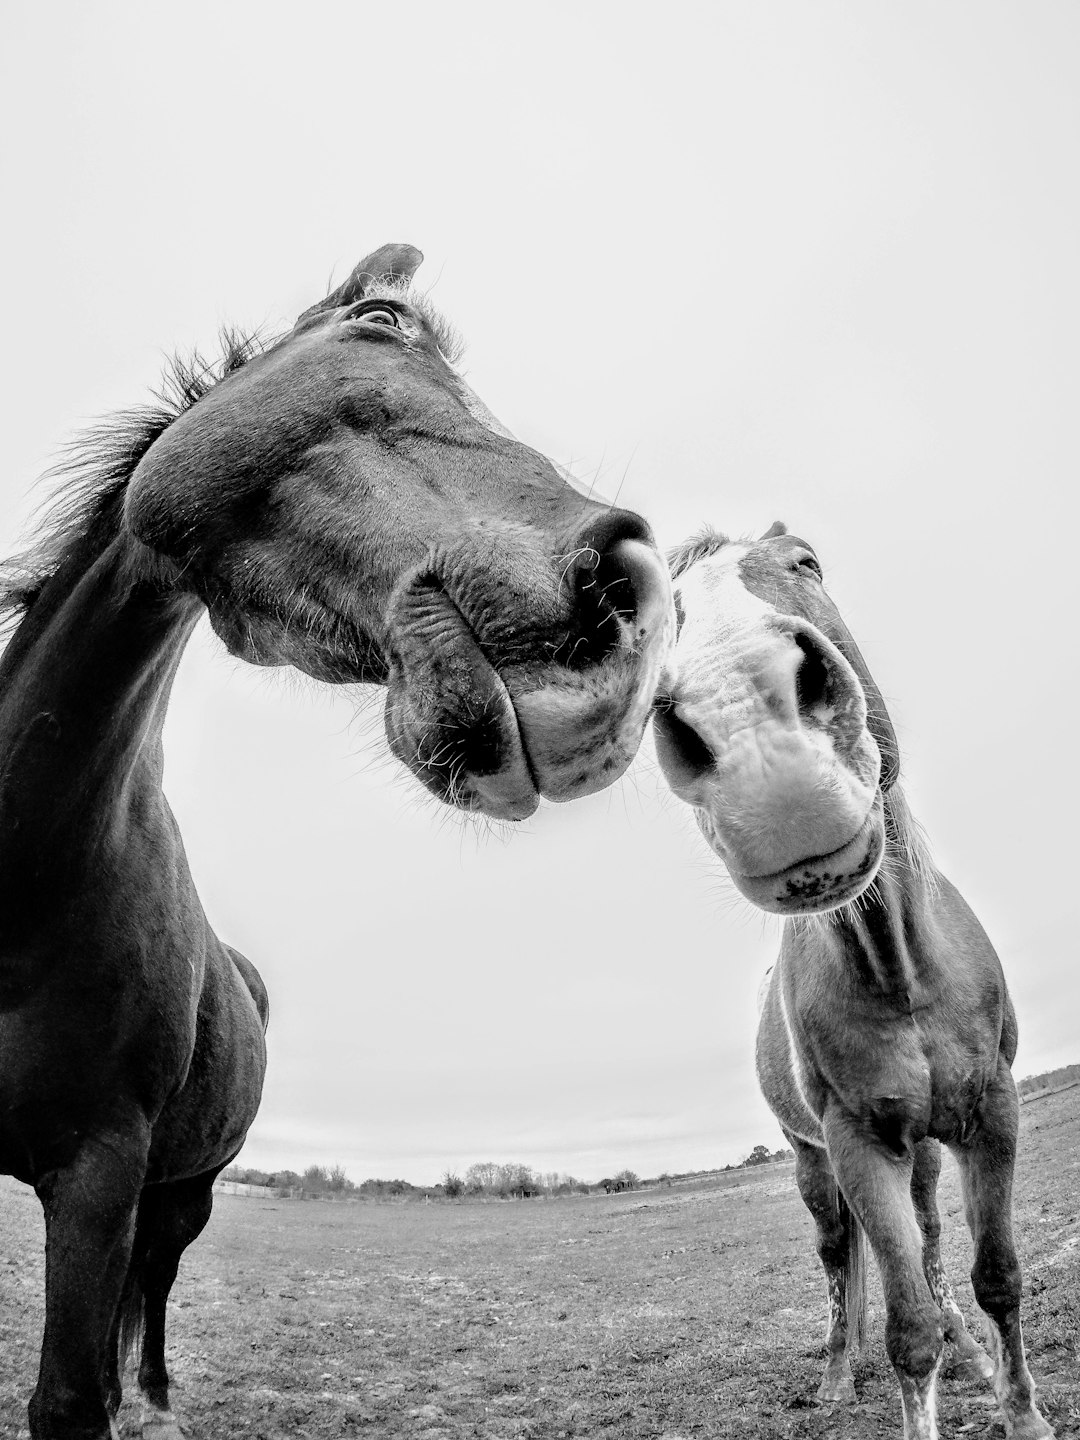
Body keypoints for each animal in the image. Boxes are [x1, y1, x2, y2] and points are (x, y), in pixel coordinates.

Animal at [0, 243, 676, 1440]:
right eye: (380, 322)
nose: (634, 605)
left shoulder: (96, 1176)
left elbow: (73, 1394)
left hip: (180, 1191)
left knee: (156, 1283)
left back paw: (156, 1397)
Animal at [652, 523, 1053, 1440]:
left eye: (807, 562)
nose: (751, 729)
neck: (900, 970)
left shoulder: (993, 1110)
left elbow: (997, 1277)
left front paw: (1020, 1409)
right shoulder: (856, 1142)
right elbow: (906, 1332)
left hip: (926, 1154)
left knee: (932, 1244)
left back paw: (971, 1355)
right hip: (816, 1162)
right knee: (841, 1261)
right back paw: (837, 1374)